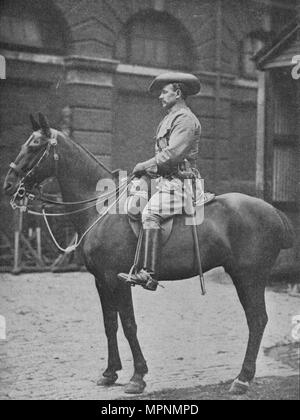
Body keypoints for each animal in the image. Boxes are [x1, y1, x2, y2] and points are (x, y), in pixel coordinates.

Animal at [3, 114, 294, 394]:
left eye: (34, 146)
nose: (9, 184)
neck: (103, 208)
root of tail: (273, 211)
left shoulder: (117, 280)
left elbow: (129, 325)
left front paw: (137, 377)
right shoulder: (101, 281)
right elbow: (110, 324)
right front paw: (109, 373)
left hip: (249, 278)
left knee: (257, 320)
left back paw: (242, 379)